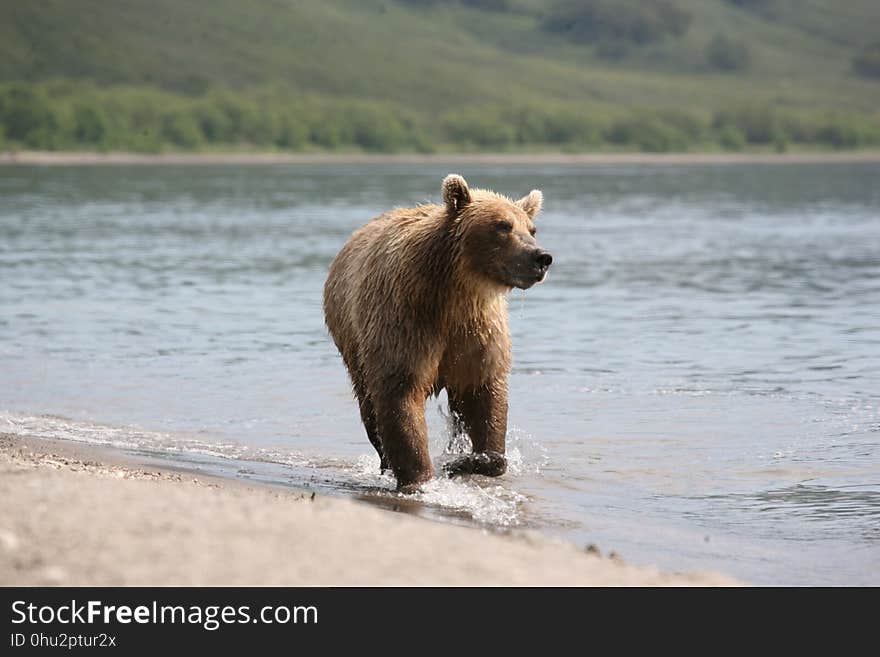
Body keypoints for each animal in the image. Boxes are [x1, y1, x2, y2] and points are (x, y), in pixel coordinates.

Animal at [326, 174, 552, 492]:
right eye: (502, 226)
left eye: (531, 229)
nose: (541, 257)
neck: (455, 294)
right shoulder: (407, 322)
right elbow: (401, 394)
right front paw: (419, 478)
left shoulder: (478, 335)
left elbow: (487, 398)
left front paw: (464, 461)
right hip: (353, 344)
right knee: (369, 407)